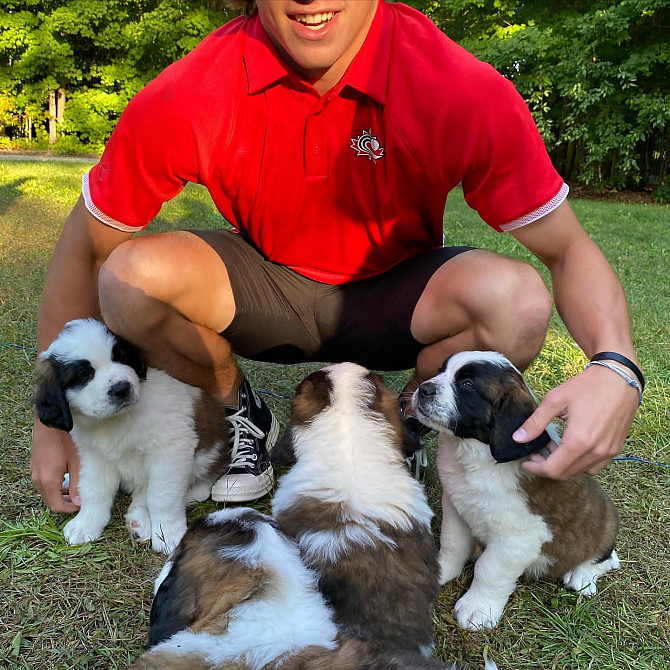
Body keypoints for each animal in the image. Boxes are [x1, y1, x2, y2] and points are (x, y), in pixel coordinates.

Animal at [34, 320, 234, 556]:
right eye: (84, 374)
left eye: (121, 357)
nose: (121, 388)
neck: (115, 420)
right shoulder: (94, 455)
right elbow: (93, 489)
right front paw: (86, 523)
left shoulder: (171, 449)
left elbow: (162, 497)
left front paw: (167, 533)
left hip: (207, 458)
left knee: (191, 489)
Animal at [412, 354, 624, 632]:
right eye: (441, 371)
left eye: (467, 384)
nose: (424, 389)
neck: (475, 455)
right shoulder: (456, 507)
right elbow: (452, 543)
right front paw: (440, 571)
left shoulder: (518, 538)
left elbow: (490, 569)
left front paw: (478, 608)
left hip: (606, 524)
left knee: (607, 558)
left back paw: (583, 574)